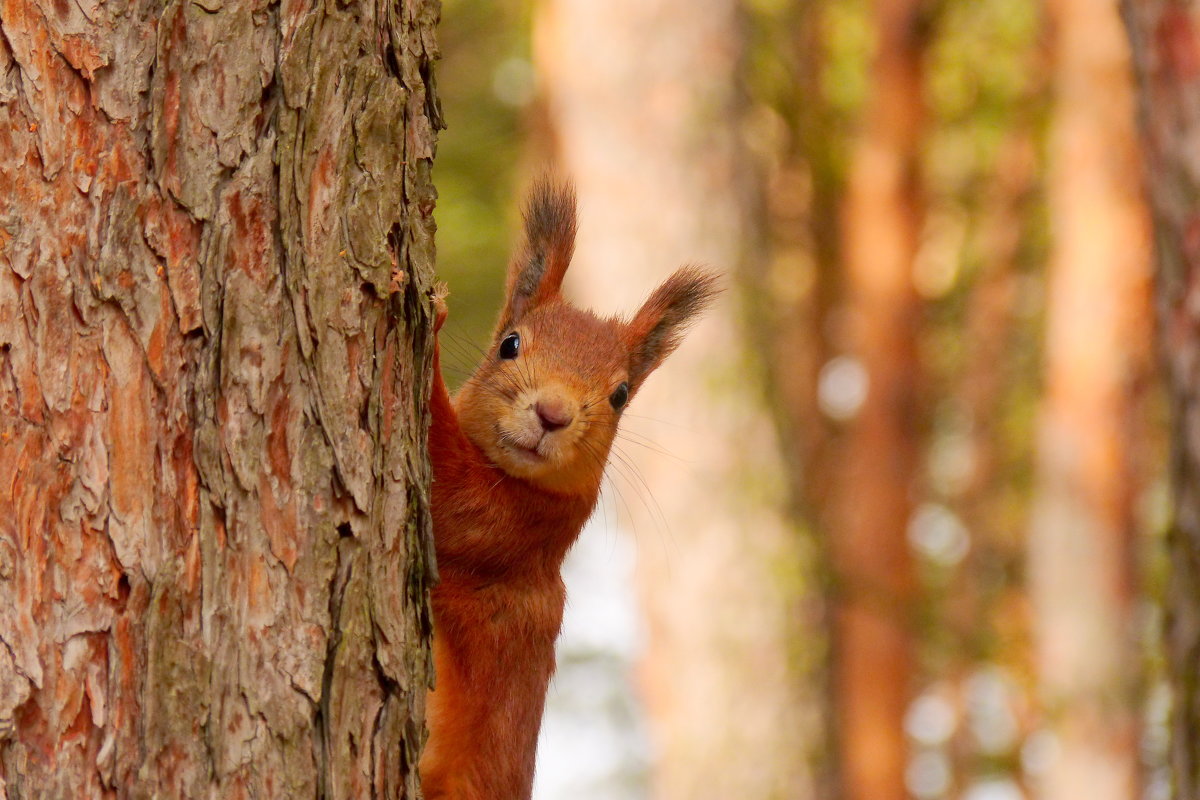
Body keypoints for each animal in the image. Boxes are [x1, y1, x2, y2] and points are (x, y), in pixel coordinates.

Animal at [422, 181, 715, 800]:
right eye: (509, 344)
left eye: (621, 395)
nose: (552, 414)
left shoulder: (506, 529)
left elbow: (446, 487)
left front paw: (431, 316)